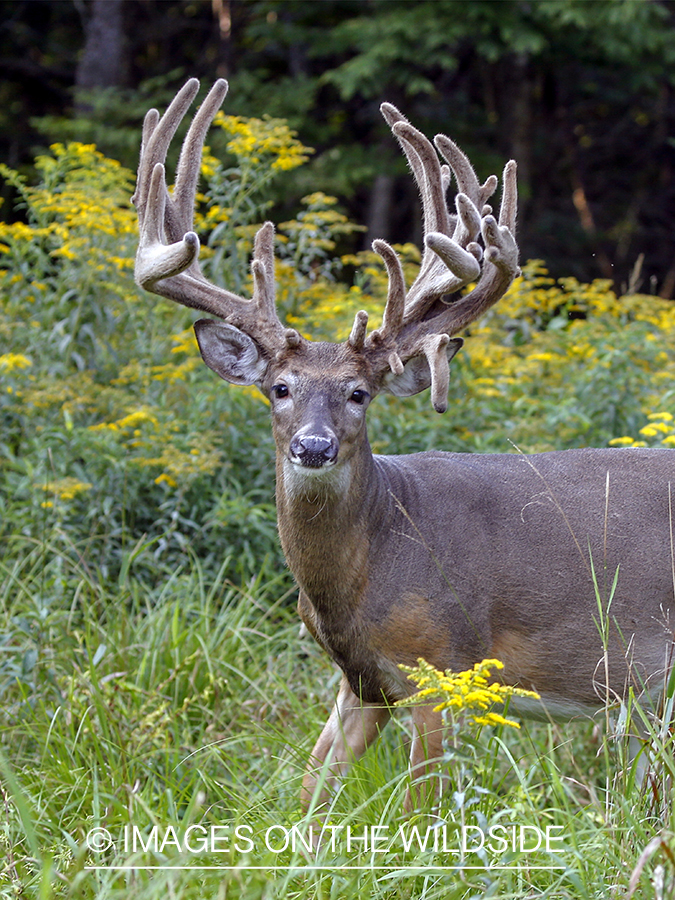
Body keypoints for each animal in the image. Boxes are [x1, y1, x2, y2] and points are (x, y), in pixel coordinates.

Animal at [133, 77, 675, 808]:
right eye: (279, 388)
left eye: (359, 393)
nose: (312, 447)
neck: (371, 565)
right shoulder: (361, 683)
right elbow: (308, 797)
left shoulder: (441, 668)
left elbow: (420, 811)